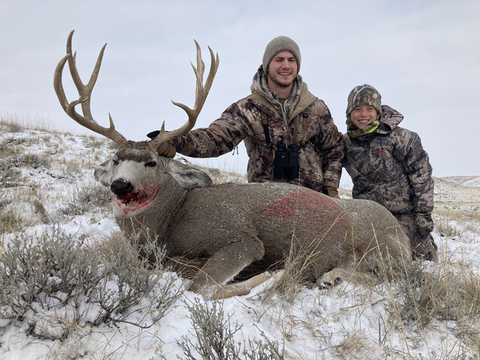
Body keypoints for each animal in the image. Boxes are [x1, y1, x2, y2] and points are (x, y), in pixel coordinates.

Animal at [54, 31, 410, 300]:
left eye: (152, 162)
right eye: (116, 159)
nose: (121, 184)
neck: (170, 221)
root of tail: (401, 233)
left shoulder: (241, 239)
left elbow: (199, 286)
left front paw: (268, 278)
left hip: (381, 244)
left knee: (395, 274)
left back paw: (330, 277)